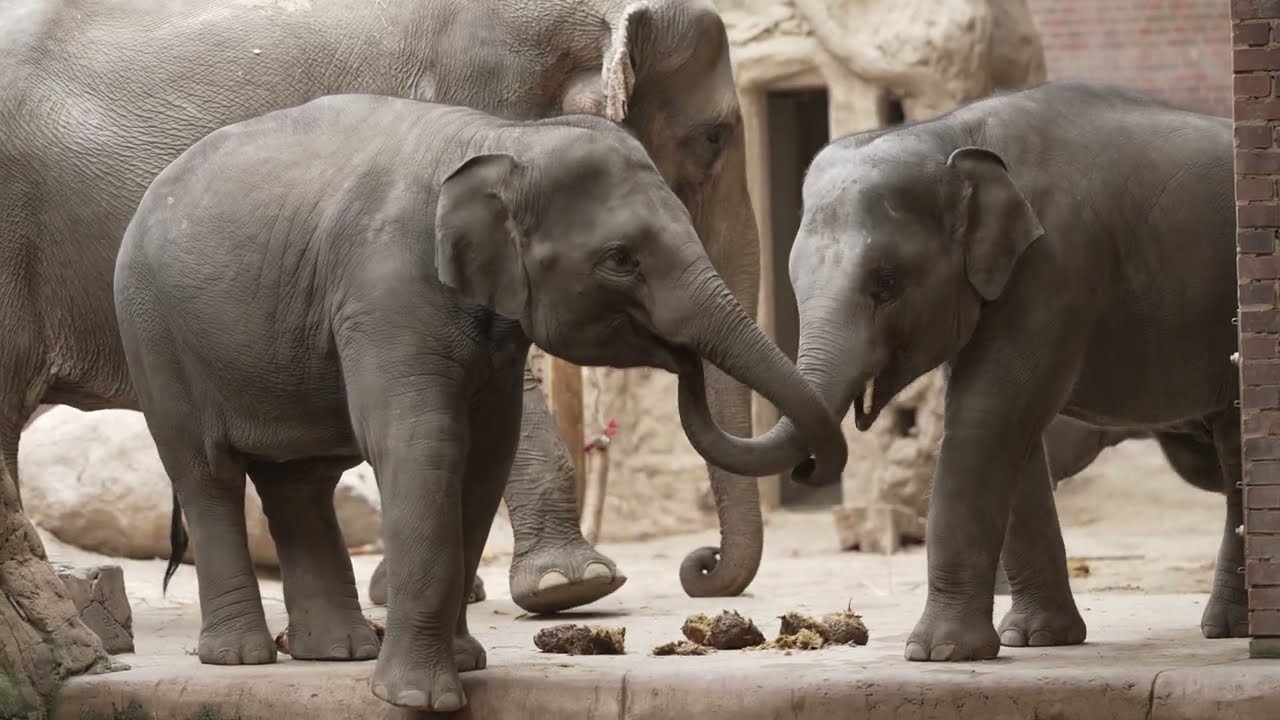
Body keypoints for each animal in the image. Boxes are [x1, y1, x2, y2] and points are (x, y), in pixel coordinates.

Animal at [113, 96, 848, 712]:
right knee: (207, 474)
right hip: (153, 334)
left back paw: (340, 652)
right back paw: (241, 658)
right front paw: (420, 699)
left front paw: (465, 664)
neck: (503, 137)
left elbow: (486, 456)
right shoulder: (385, 293)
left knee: (301, 482)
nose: (682, 360)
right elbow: (425, 446)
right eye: (620, 259)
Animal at [786, 80, 1241, 662]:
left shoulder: (1056, 267)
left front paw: (938, 654)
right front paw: (1036, 639)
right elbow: (1010, 429)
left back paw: (1231, 628)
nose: (806, 469)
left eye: (885, 282)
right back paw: (1228, 627)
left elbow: (988, 415)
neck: (949, 135)